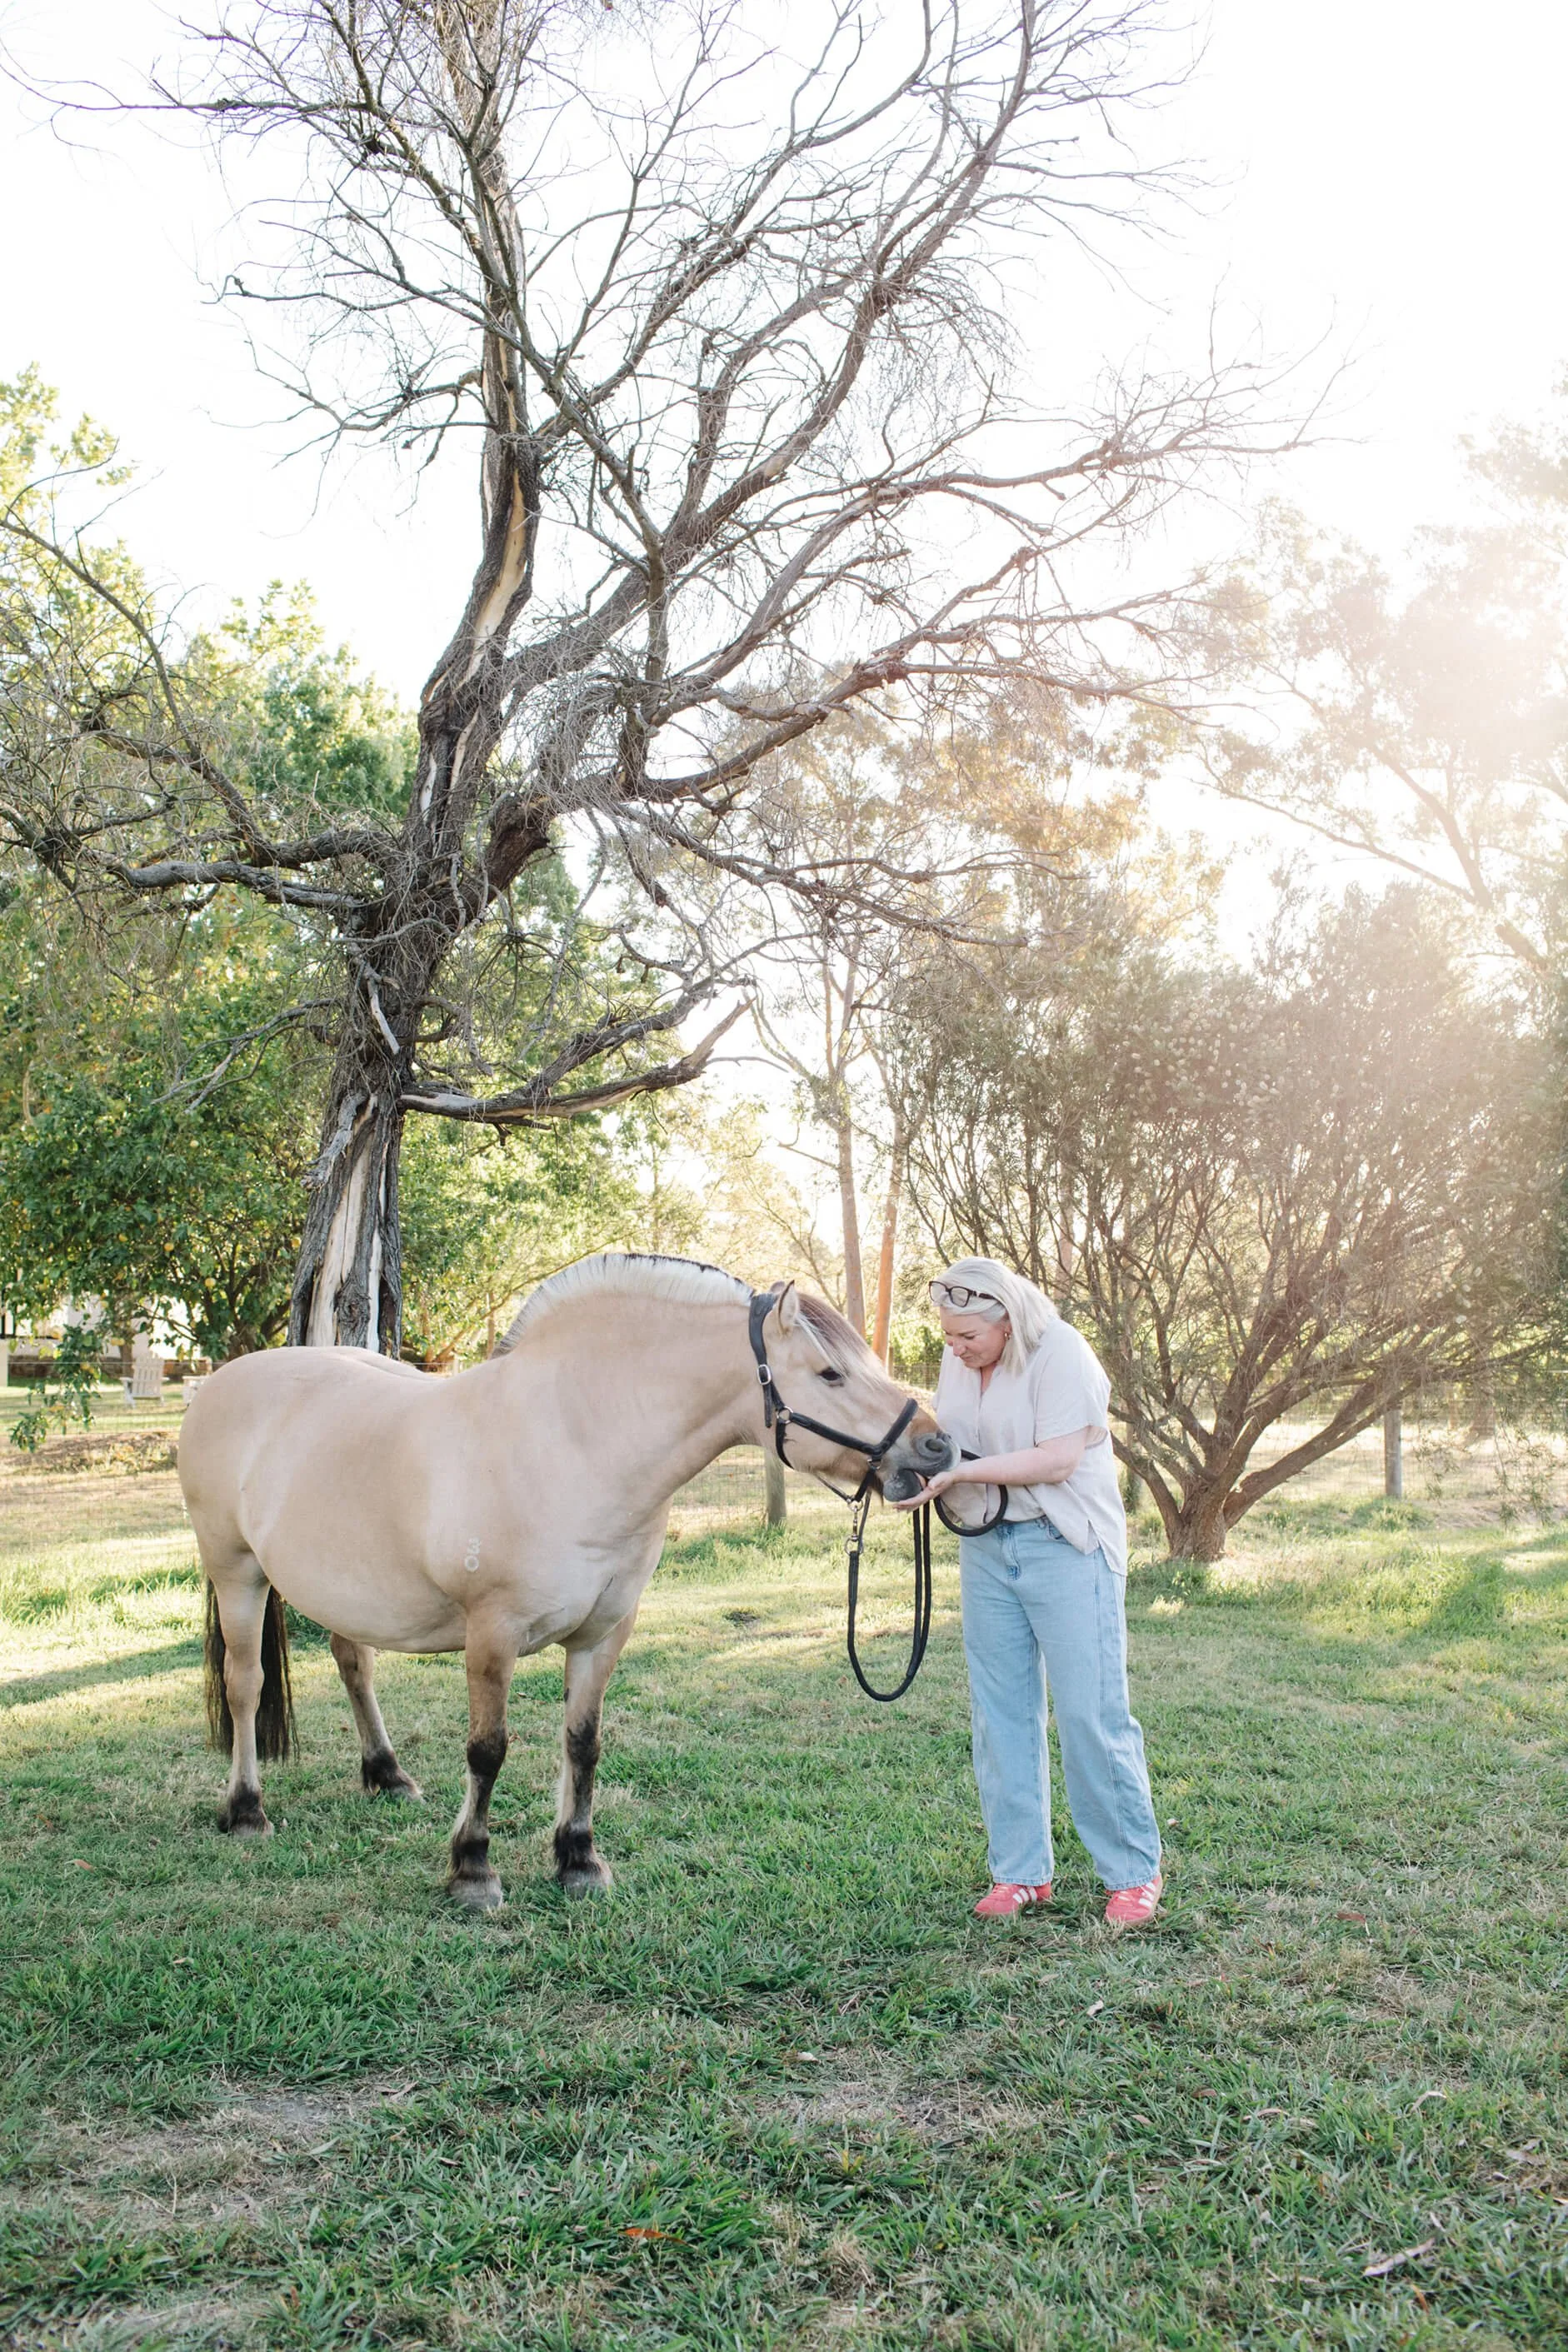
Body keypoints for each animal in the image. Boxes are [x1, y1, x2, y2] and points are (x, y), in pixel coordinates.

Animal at [179, 1251, 958, 1908]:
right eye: (831, 1374)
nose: (937, 1445)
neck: (572, 1443)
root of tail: (218, 1380)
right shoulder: (491, 1635)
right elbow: (488, 1749)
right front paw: (473, 1869)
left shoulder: (603, 1634)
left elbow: (583, 1743)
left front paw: (578, 1858)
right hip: (237, 1573)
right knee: (245, 1686)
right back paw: (245, 1809)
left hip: (345, 1594)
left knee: (353, 1662)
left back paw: (387, 1773)